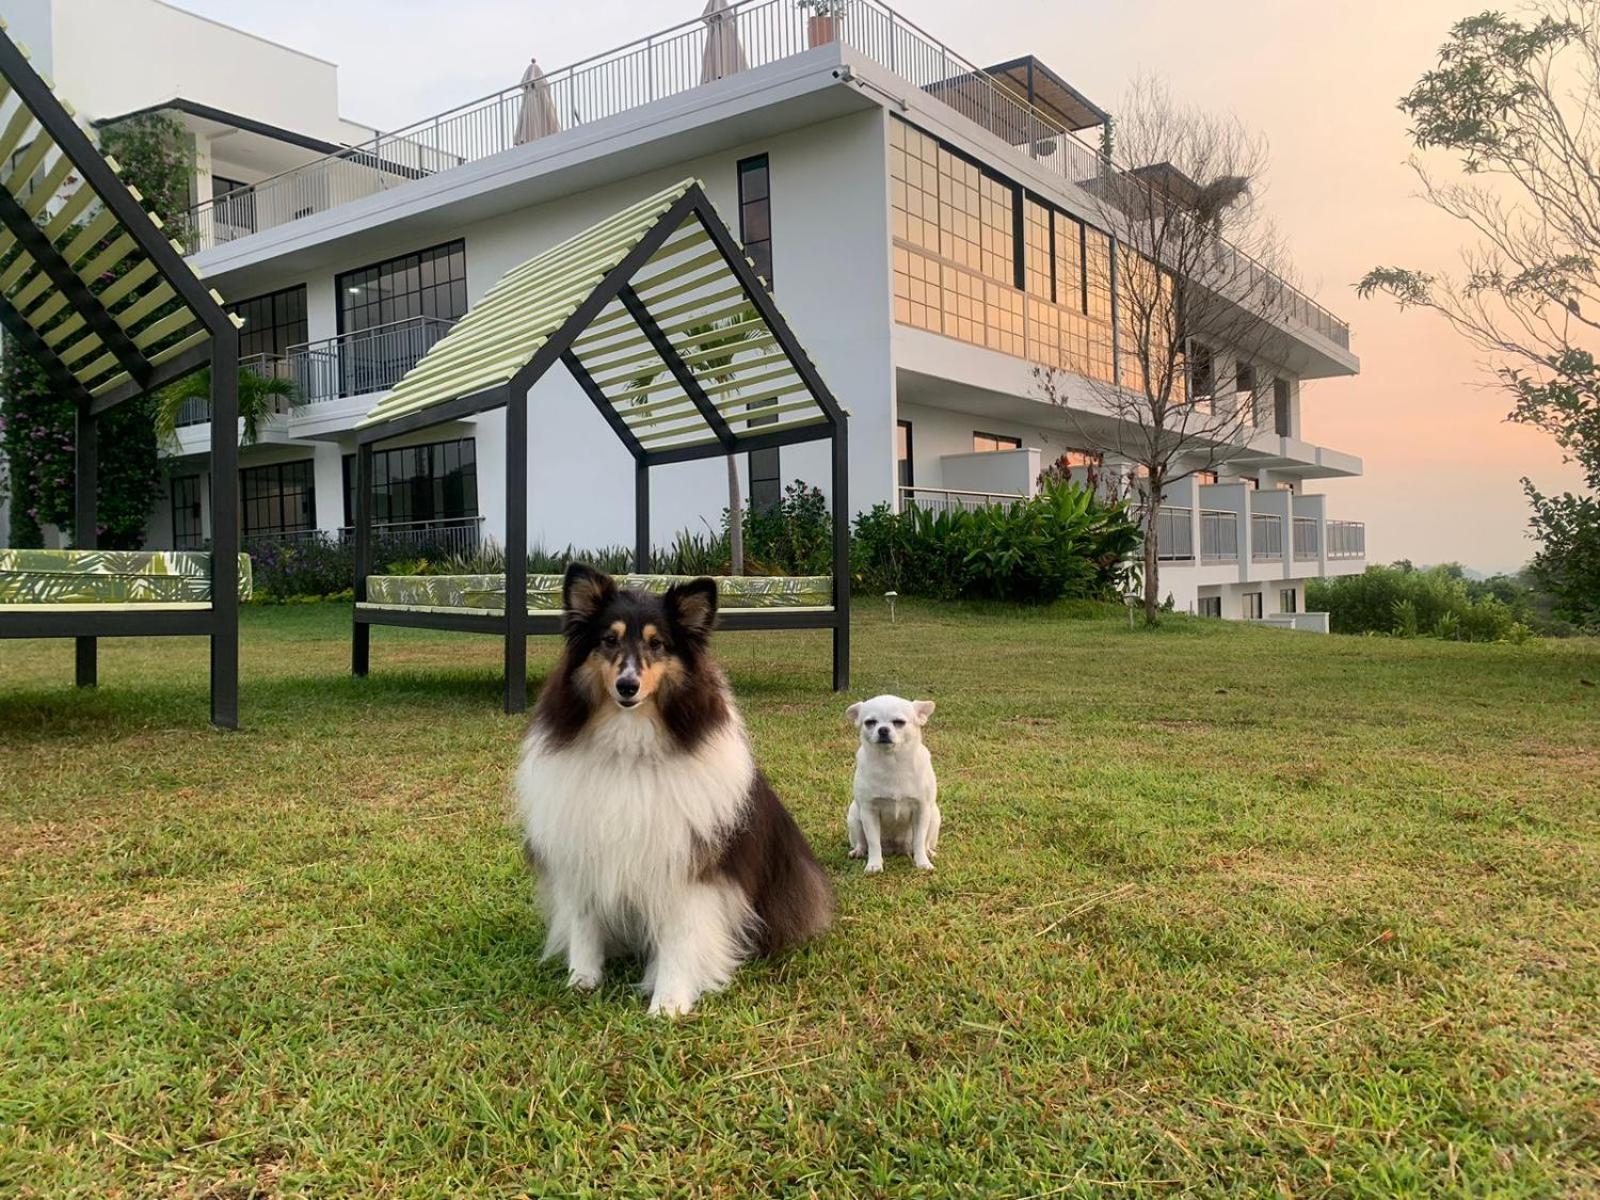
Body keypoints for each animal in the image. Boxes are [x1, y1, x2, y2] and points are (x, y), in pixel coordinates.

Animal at [512, 563, 838, 1017]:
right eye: (608, 640)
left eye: (657, 644)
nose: (627, 686)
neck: (628, 746)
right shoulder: (584, 852)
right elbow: (584, 923)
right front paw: (582, 982)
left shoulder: (687, 868)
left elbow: (680, 938)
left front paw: (669, 1003)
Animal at [851, 694, 934, 876]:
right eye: (870, 722)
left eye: (899, 722)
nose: (883, 729)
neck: (892, 763)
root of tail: (895, 849)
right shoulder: (869, 811)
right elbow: (873, 842)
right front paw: (874, 865)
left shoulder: (922, 809)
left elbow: (919, 840)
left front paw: (922, 862)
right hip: (854, 816)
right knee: (862, 841)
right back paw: (859, 851)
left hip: (935, 817)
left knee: (925, 841)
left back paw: (929, 852)